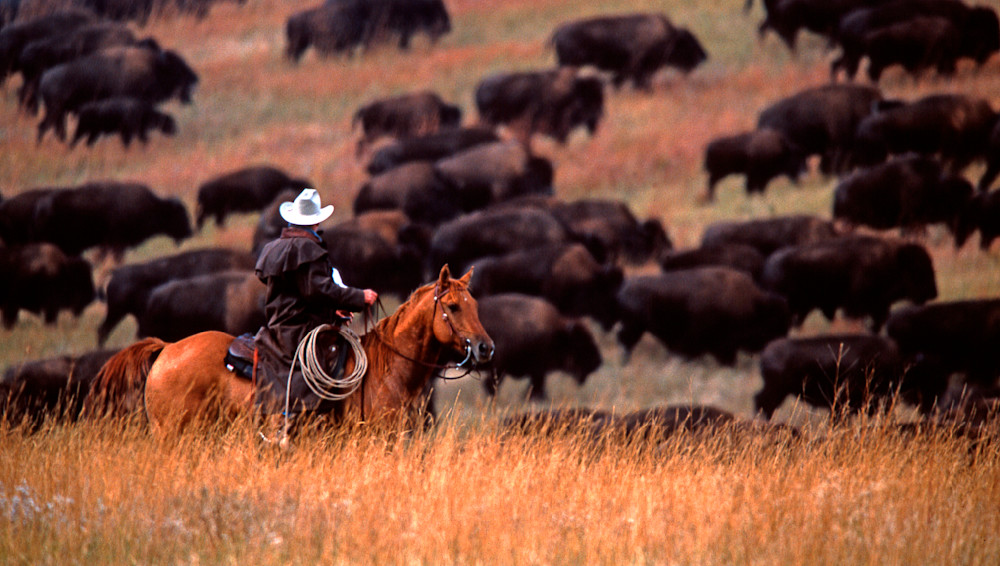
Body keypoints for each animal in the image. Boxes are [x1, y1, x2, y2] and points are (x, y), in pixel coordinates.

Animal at [615, 268, 791, 365]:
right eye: (773, 322)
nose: (778, 346)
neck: (753, 304)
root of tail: (624, 288)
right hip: (634, 326)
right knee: (626, 341)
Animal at [761, 235, 938, 331]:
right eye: (918, 268)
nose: (933, 293)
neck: (894, 261)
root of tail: (768, 266)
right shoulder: (855, 307)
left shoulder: (879, 307)